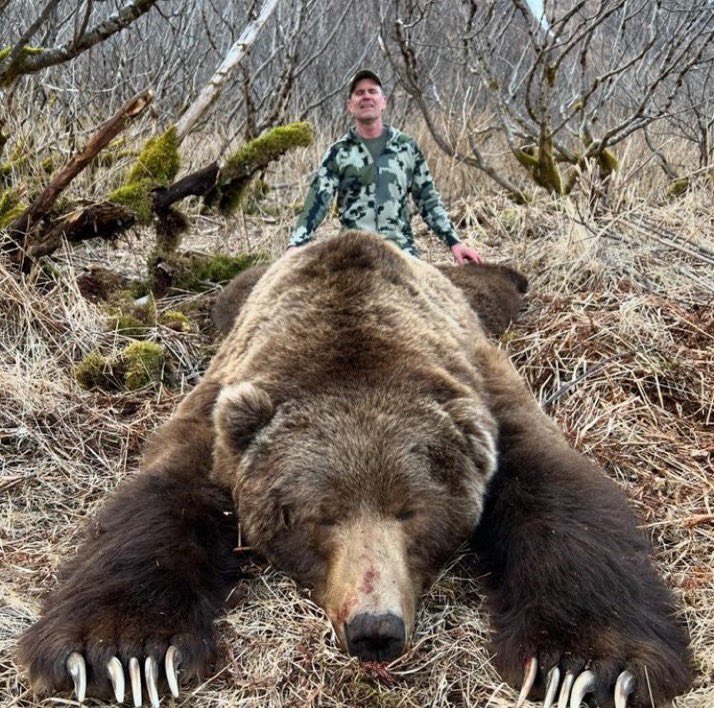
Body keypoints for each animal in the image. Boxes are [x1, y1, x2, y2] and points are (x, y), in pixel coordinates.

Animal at [17, 230, 690, 707]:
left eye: (411, 511)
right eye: (319, 516)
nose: (375, 629)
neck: (353, 335)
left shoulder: (482, 388)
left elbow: (558, 497)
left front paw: (585, 666)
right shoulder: (223, 405)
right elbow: (162, 501)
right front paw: (121, 651)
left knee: (493, 283)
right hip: (235, 298)